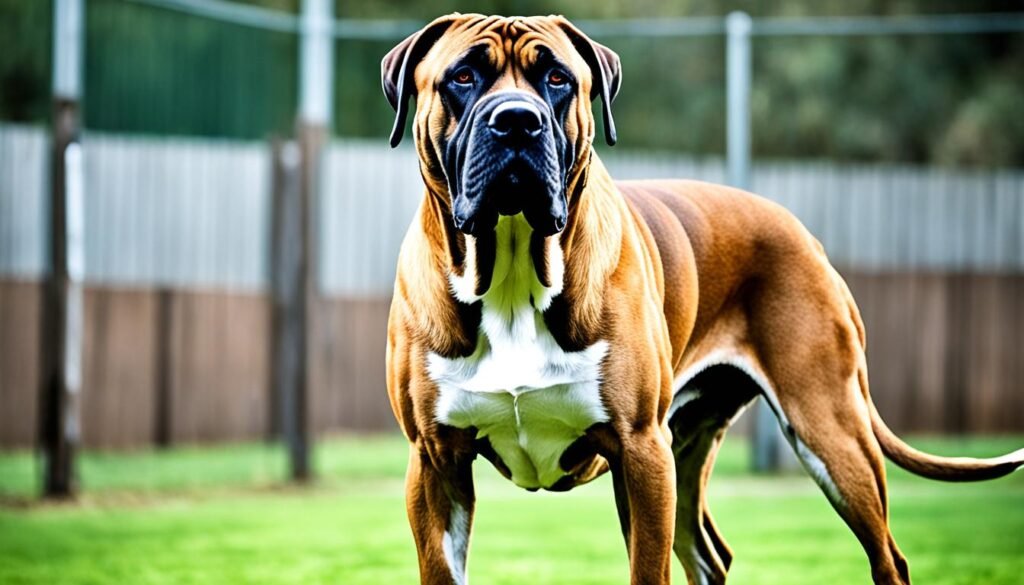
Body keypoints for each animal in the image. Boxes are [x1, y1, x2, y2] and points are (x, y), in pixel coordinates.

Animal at [382, 13, 1024, 585]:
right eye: (463, 76)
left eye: (558, 78)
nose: (517, 120)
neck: (514, 271)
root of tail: (802, 232)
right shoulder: (434, 463)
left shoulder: (641, 454)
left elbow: (648, 571)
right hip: (692, 452)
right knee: (711, 556)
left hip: (830, 430)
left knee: (887, 558)